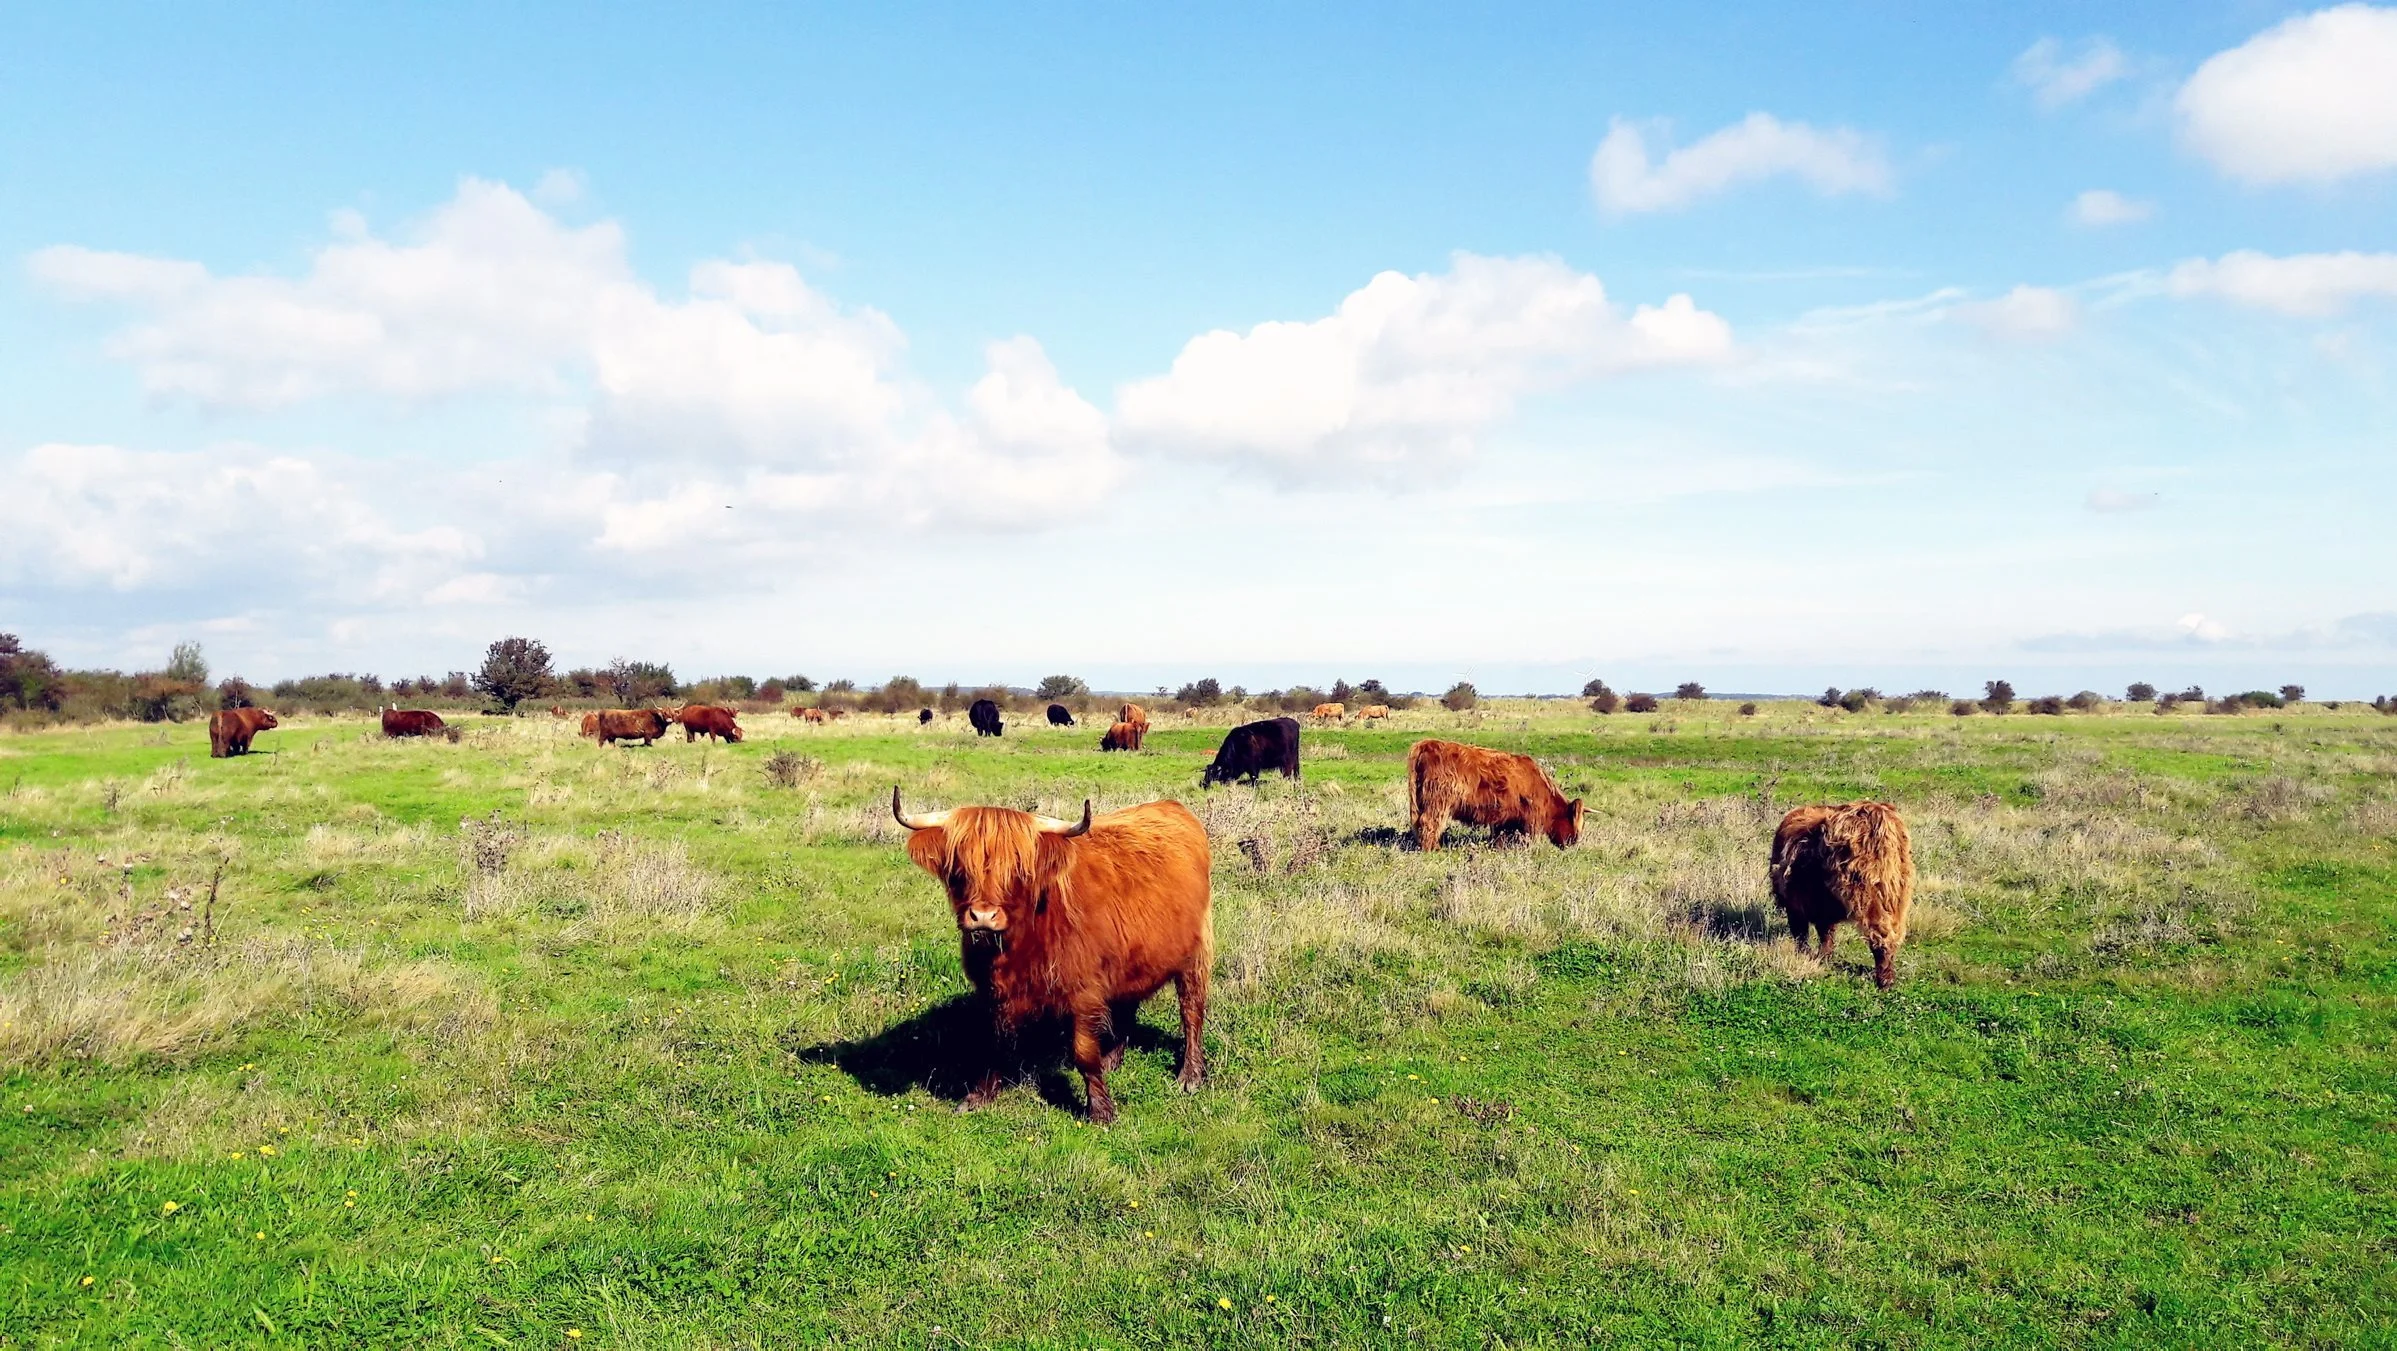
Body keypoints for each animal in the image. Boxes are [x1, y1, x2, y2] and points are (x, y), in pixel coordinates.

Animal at [891, 785, 1208, 1125]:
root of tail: (1172, 806)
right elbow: (995, 1043)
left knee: (1191, 1010)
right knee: (1128, 1005)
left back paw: (1190, 1075)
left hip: (1195, 954)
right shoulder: (993, 991)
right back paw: (1113, 1059)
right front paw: (978, 1096)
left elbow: (1084, 1052)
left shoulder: (1084, 991)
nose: (983, 916)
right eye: (960, 867)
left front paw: (1101, 1110)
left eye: (1018, 868)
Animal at [1399, 737, 1582, 852]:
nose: (1574, 842)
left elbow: (1500, 835)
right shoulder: (1531, 818)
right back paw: (1432, 849)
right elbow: (1526, 836)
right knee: (1429, 822)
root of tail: (1426, 744)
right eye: (1576, 826)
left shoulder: (1505, 817)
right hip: (1438, 801)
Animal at [1773, 800, 1917, 991]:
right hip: (1897, 892)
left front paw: (1805, 955)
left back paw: (1884, 981)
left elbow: (1803, 932)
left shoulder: (1795, 901)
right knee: (1893, 934)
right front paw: (1823, 957)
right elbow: (1825, 932)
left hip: (1866, 891)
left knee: (1880, 935)